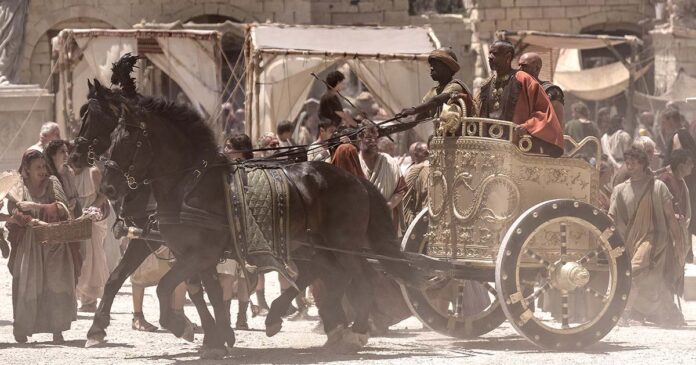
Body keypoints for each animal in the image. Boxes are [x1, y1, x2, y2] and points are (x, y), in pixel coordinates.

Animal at [89, 84, 418, 352]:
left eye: (128, 141)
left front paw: (183, 327)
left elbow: (167, 287)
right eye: (111, 137)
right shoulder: (189, 253)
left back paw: (356, 330)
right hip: (313, 246)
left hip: (343, 245)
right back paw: (308, 323)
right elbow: (201, 291)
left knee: (359, 278)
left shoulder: (197, 253)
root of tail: (354, 180)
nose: (107, 188)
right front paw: (216, 338)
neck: (191, 183)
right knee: (327, 276)